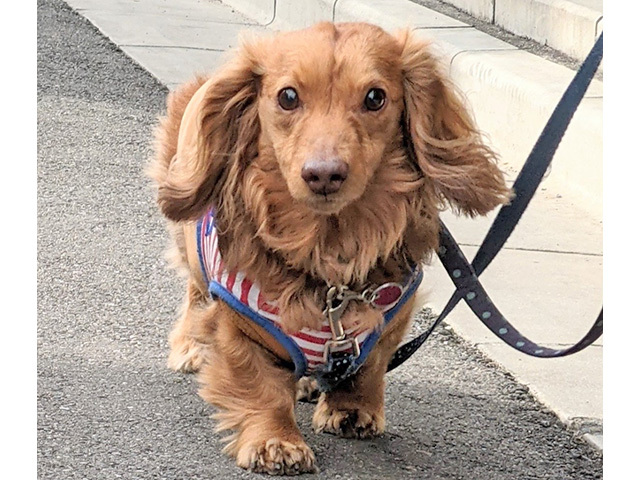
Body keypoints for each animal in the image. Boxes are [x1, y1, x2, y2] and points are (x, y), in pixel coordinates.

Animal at [148, 22, 510, 475]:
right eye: (288, 96)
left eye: (375, 97)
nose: (323, 174)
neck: (328, 248)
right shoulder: (236, 320)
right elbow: (258, 384)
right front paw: (276, 441)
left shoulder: (392, 311)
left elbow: (369, 365)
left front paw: (353, 408)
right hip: (195, 249)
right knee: (195, 295)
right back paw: (191, 347)